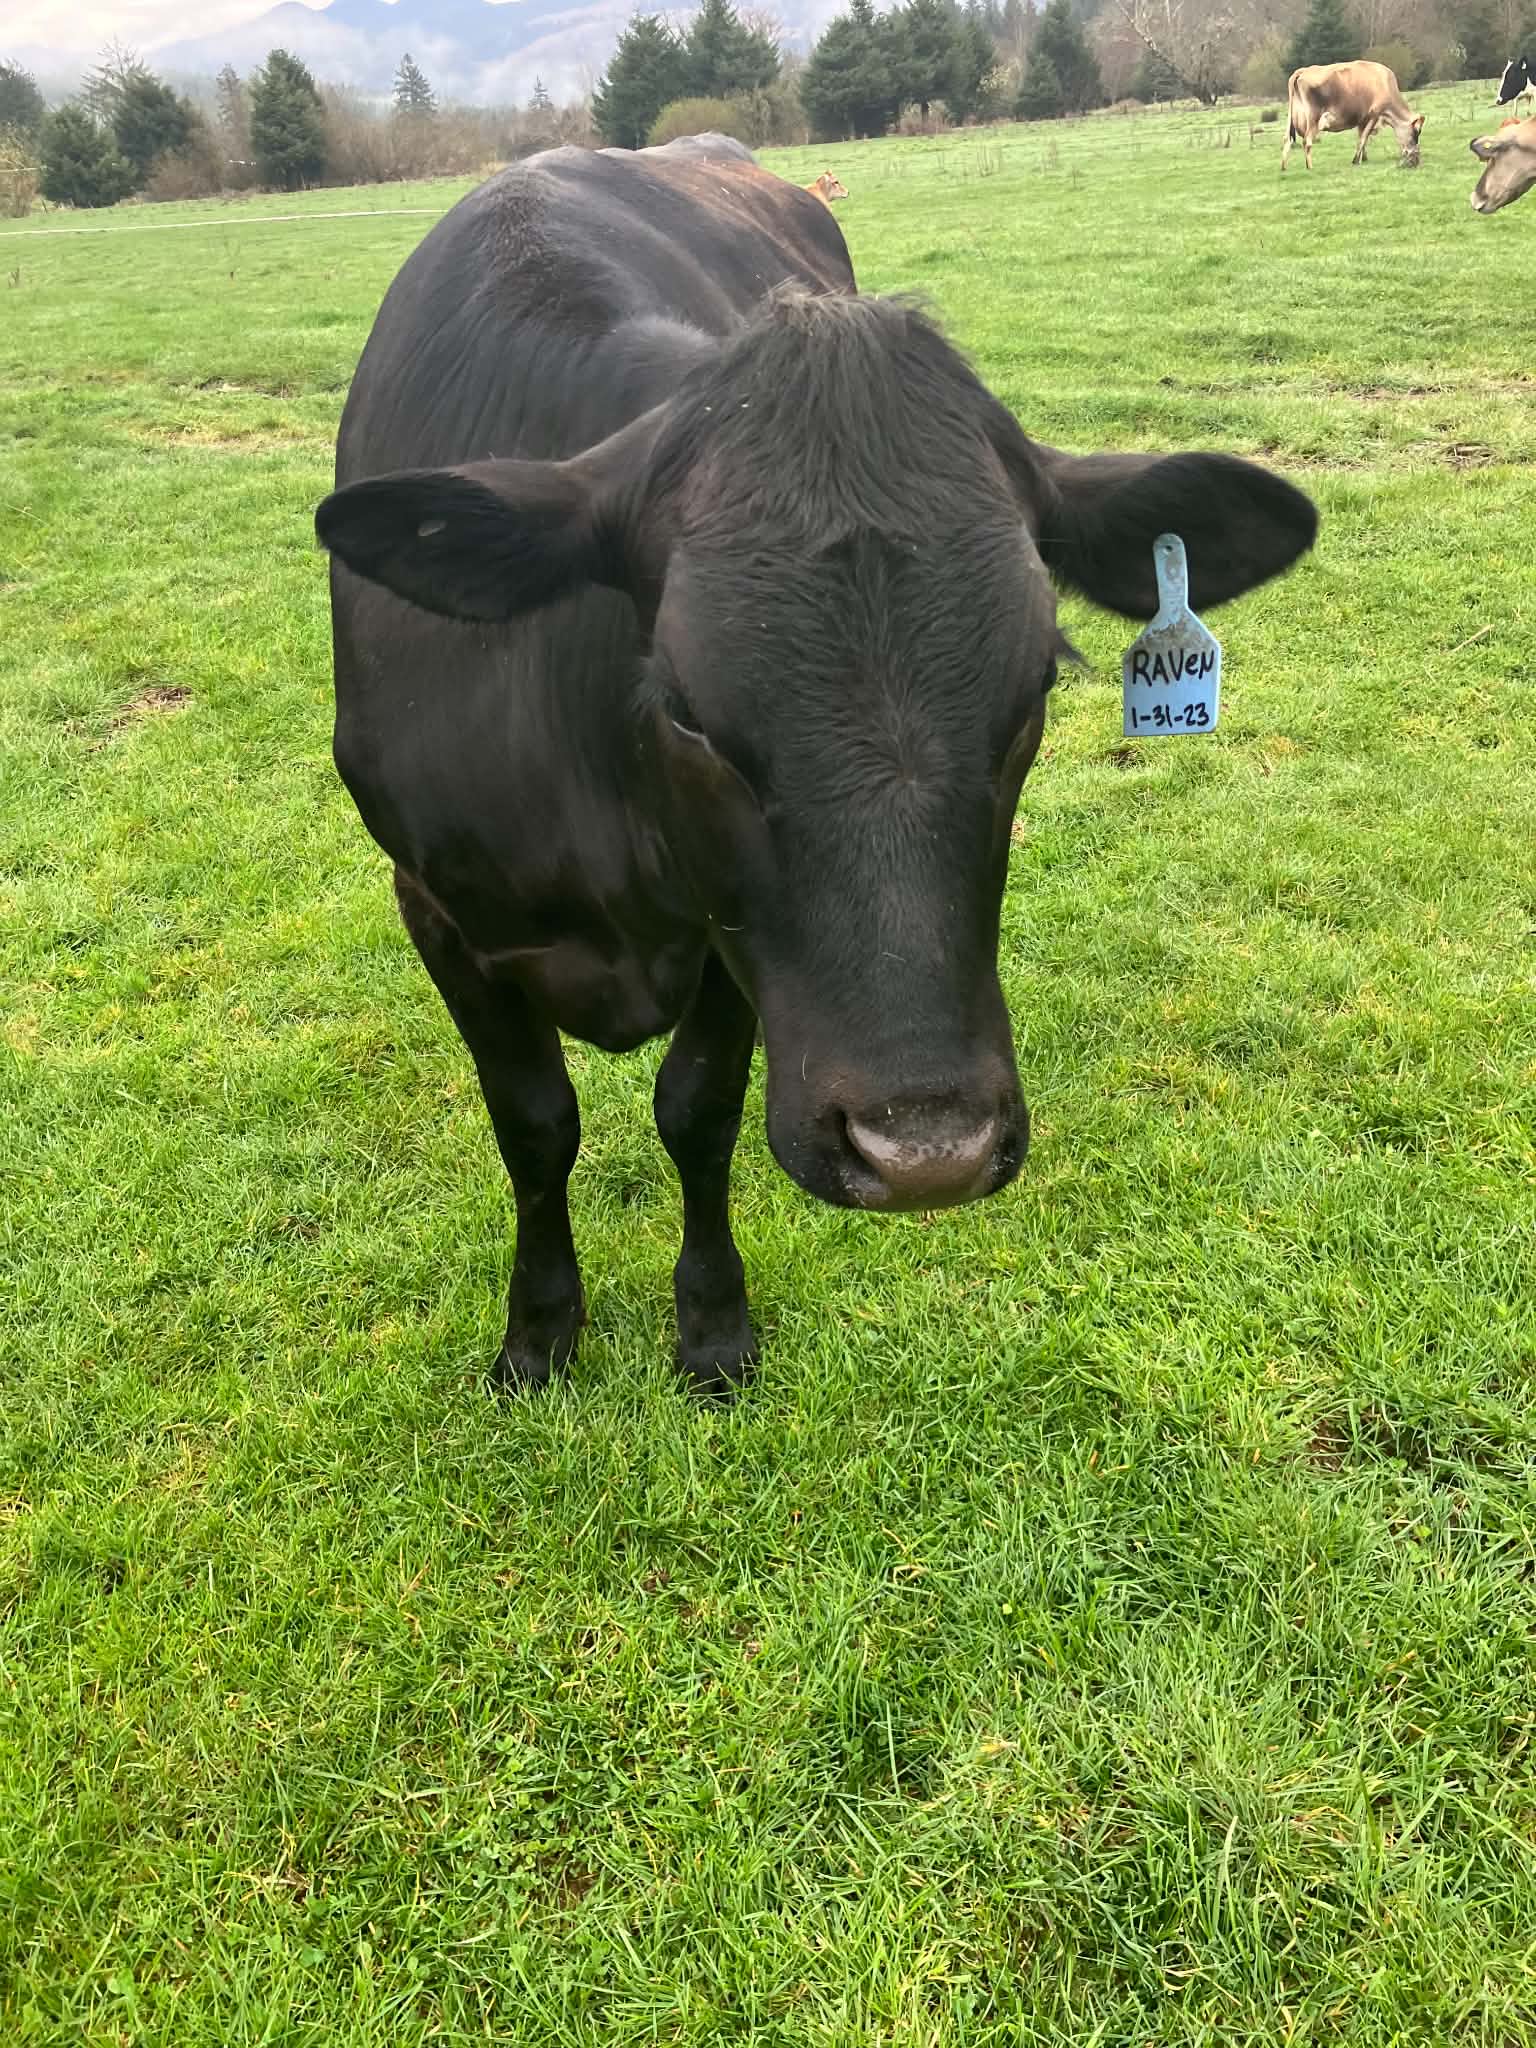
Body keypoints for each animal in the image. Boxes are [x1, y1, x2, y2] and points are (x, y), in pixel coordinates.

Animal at [315, 133, 1318, 1397]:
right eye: (686, 710)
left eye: (1037, 685)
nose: (930, 1147)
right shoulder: (438, 909)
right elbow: (535, 1123)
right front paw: (538, 1331)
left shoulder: (728, 942)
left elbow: (694, 1110)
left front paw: (711, 1324)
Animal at [1282, 60, 1425, 171]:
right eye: (1416, 132)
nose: (1415, 160)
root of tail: (1303, 71)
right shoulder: (1374, 114)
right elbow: (1363, 138)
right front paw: (1356, 160)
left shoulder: (1362, 119)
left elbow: (1361, 137)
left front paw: (1364, 158)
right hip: (1314, 118)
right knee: (1307, 141)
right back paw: (1310, 167)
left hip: (1291, 118)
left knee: (1286, 139)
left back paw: (1283, 167)